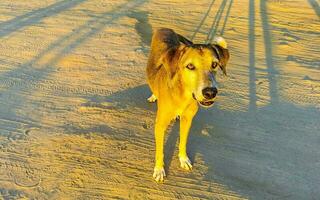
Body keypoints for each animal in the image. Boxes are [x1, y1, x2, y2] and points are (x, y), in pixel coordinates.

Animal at [146, 28, 229, 183]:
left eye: (214, 64)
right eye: (190, 66)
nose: (210, 92)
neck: (183, 95)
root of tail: (165, 28)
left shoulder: (188, 120)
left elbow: (183, 141)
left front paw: (183, 159)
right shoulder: (160, 125)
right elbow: (160, 150)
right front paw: (159, 169)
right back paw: (154, 95)